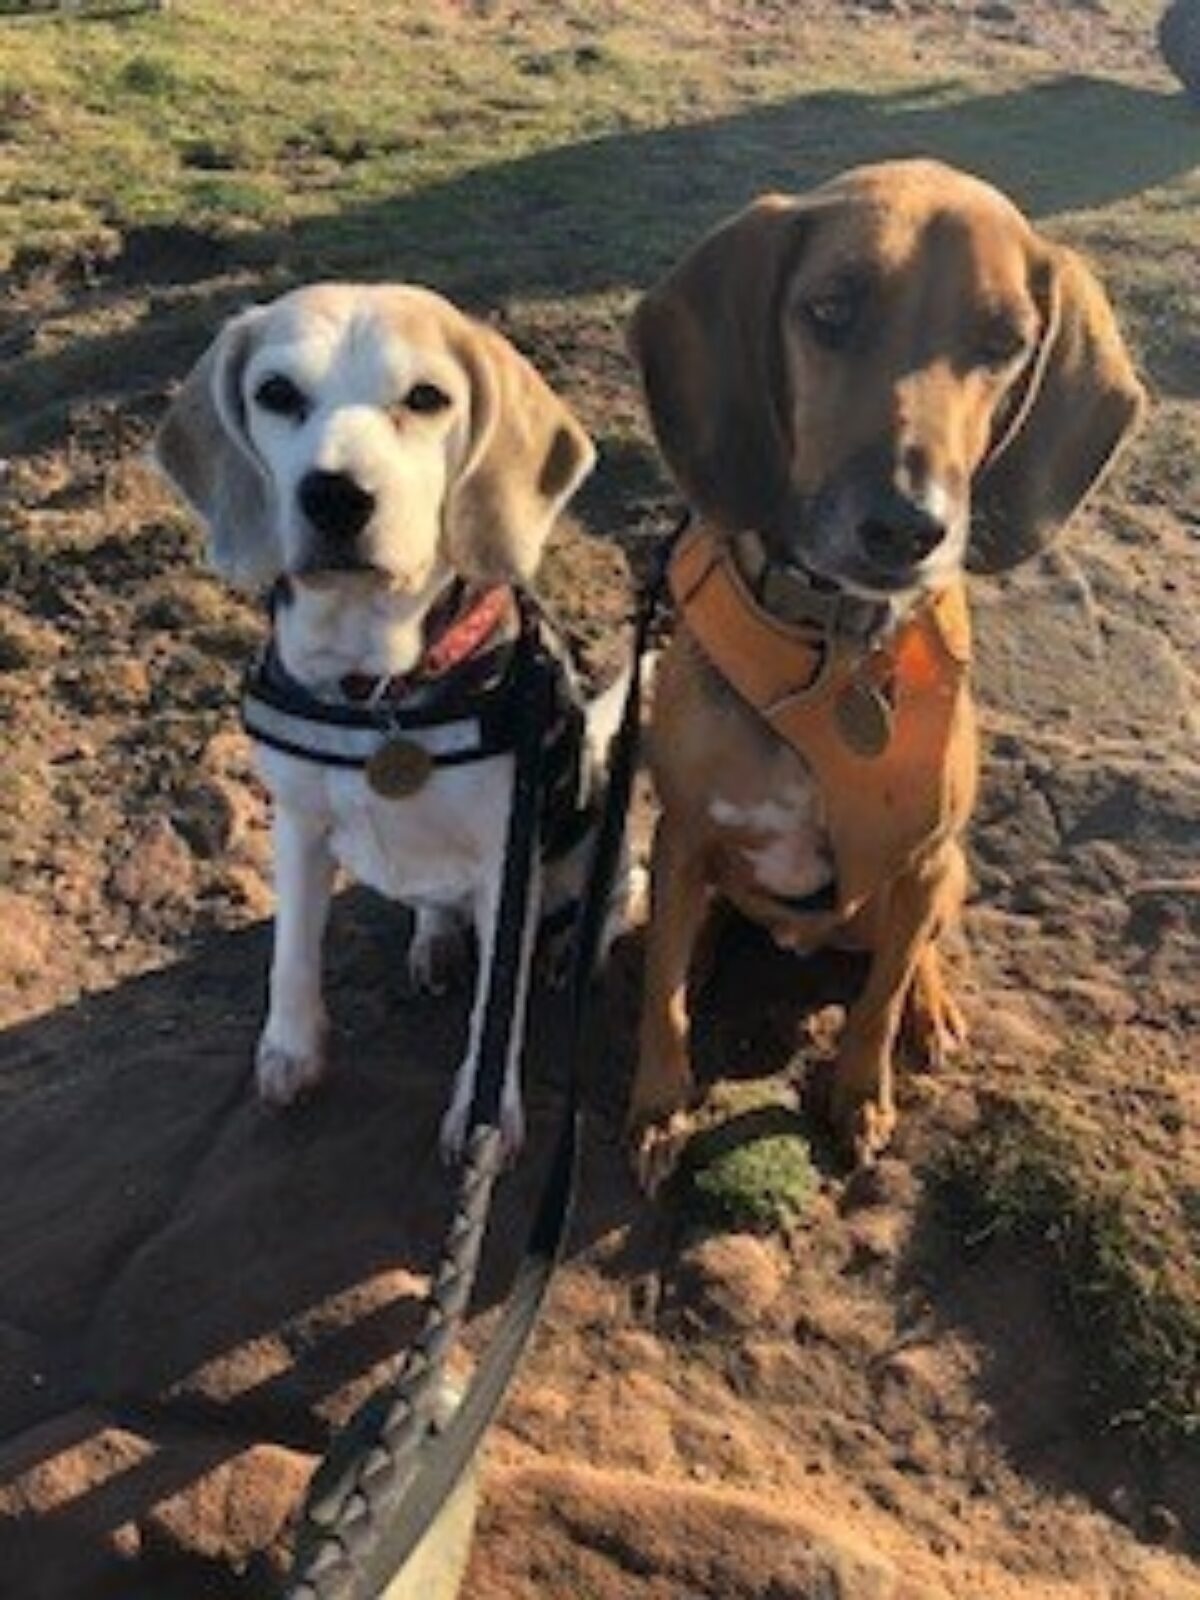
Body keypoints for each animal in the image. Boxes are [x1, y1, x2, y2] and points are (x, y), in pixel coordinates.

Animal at [156, 284, 611, 1152]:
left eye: (427, 398)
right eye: (276, 394)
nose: (335, 495)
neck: (377, 690)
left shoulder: (508, 857)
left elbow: (496, 1010)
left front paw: (484, 1113)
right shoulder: (295, 824)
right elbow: (291, 954)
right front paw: (291, 1050)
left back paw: (576, 946)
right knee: (437, 906)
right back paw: (435, 938)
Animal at [630, 162, 1145, 1184]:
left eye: (1004, 343)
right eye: (830, 309)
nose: (910, 527)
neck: (833, 650)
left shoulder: (915, 860)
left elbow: (873, 1001)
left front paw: (862, 1093)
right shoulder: (685, 830)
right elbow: (660, 986)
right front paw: (660, 1103)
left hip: (942, 871)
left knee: (913, 949)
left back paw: (929, 1008)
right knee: (691, 927)